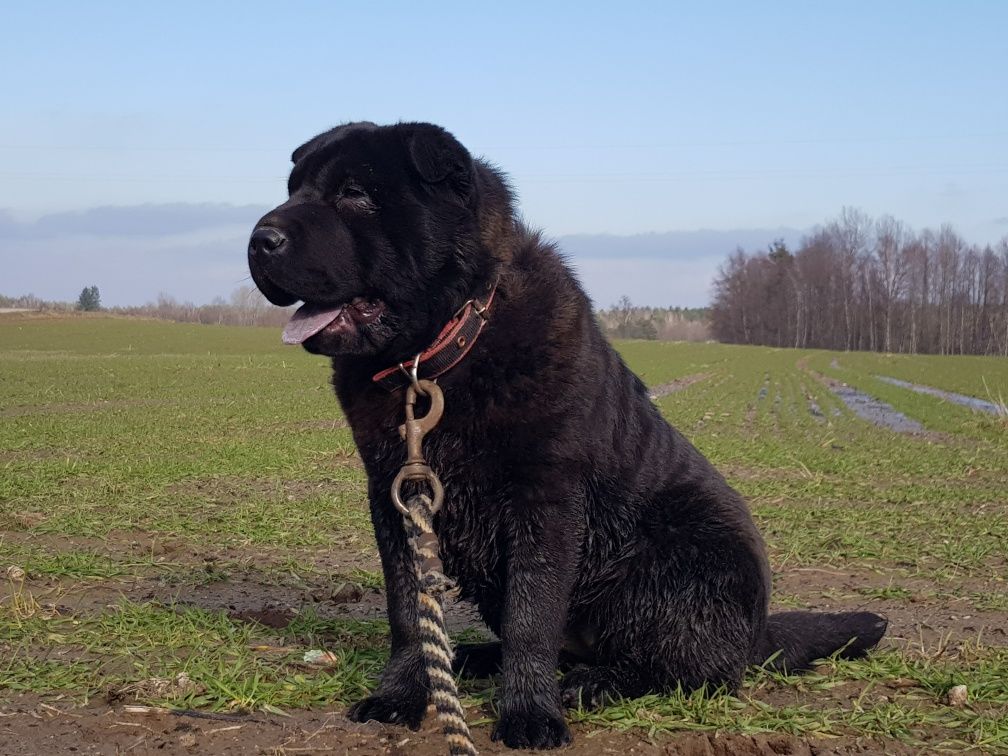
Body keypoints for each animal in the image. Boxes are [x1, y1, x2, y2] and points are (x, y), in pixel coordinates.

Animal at [247, 121, 887, 749]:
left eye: (354, 194)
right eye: (294, 190)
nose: (259, 239)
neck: (440, 355)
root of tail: (757, 634)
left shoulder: (545, 498)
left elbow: (533, 614)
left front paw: (530, 714)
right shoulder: (395, 495)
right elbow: (409, 609)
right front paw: (402, 694)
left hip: (685, 554)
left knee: (686, 668)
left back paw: (592, 682)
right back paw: (474, 658)